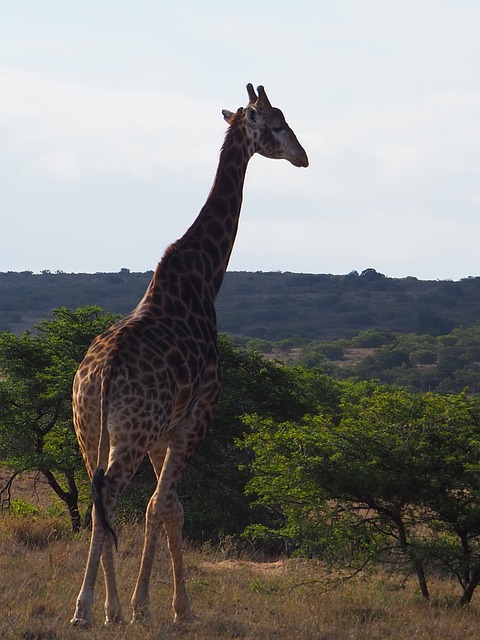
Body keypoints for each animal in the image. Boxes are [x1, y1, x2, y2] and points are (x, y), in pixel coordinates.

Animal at [71, 82, 308, 628]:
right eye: (277, 122)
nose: (304, 156)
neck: (206, 276)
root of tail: (101, 374)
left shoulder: (166, 432)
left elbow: (171, 508)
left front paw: (171, 607)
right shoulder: (196, 418)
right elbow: (161, 507)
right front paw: (147, 606)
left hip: (90, 431)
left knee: (98, 501)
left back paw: (106, 607)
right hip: (130, 435)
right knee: (108, 496)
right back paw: (85, 608)